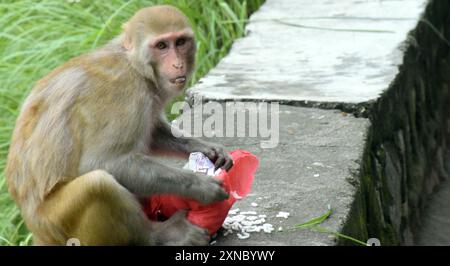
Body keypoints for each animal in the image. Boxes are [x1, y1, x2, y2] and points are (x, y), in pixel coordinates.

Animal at [4, 4, 232, 245]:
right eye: (161, 46)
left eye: (180, 42)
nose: (177, 63)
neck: (136, 67)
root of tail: (36, 230)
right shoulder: (125, 95)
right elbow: (102, 162)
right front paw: (200, 186)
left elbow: (152, 134)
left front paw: (205, 149)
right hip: (56, 222)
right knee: (97, 184)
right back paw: (160, 235)